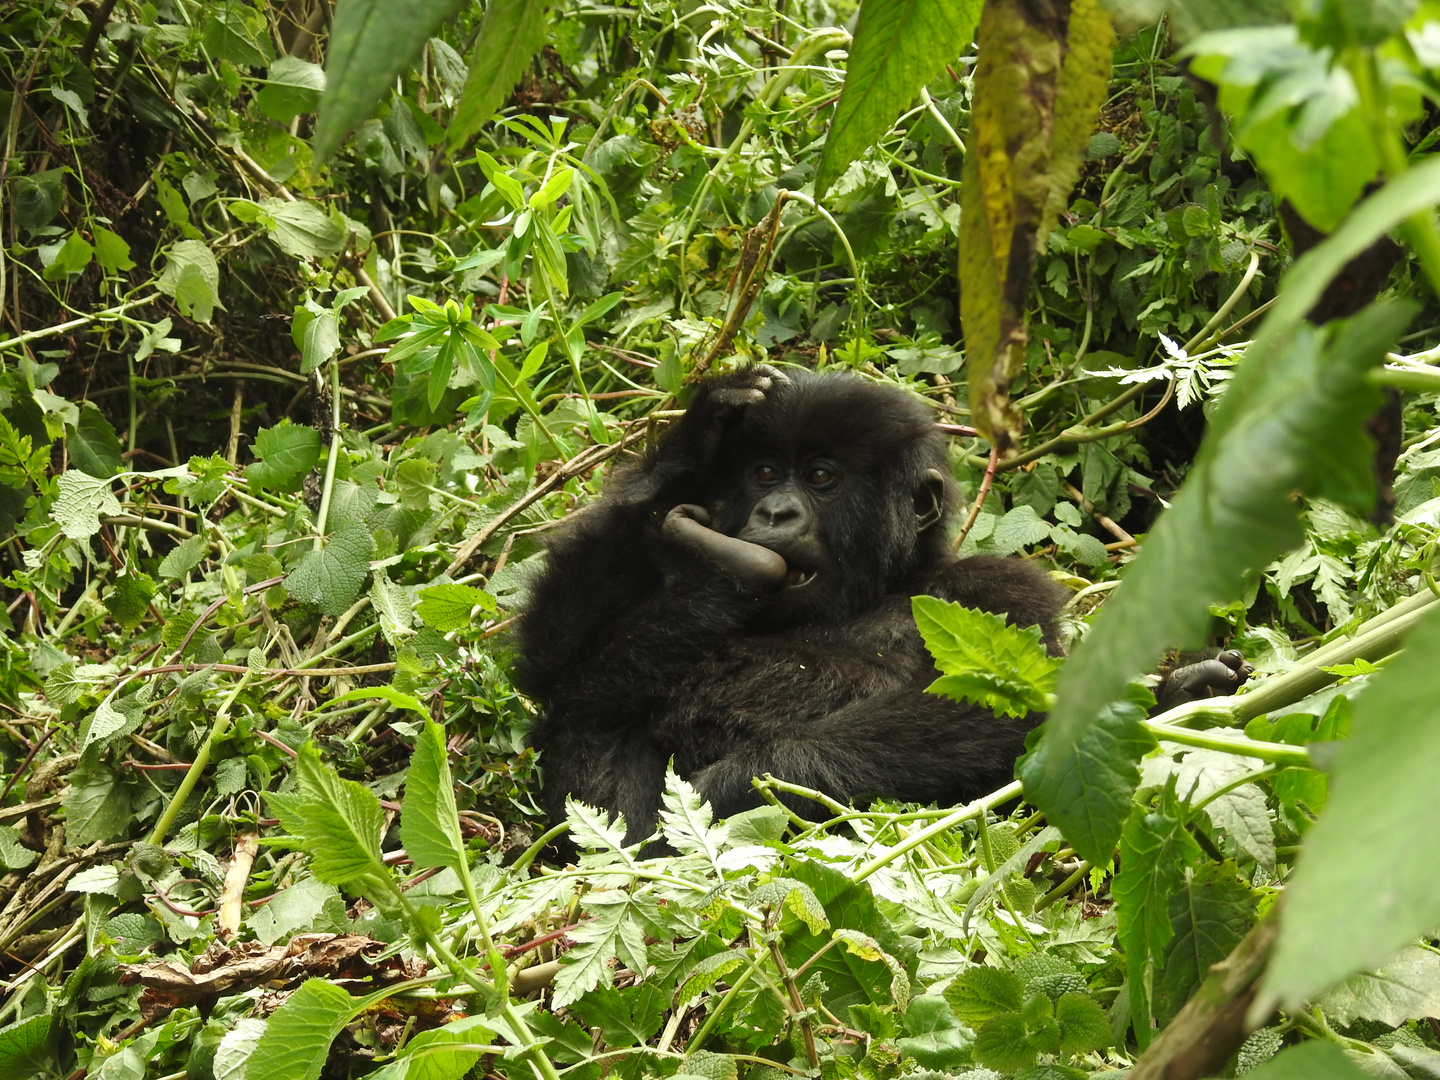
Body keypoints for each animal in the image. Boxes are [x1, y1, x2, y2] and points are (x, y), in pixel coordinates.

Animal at [512, 368, 1244, 852]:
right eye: (765, 473)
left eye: (822, 478)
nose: (773, 513)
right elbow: (547, 663)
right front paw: (695, 441)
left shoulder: (1005, 586)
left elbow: (1017, 706)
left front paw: (729, 789)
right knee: (585, 719)